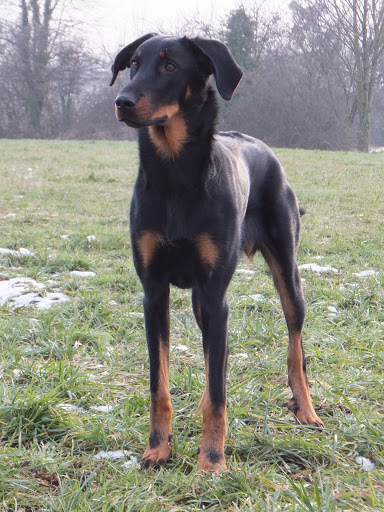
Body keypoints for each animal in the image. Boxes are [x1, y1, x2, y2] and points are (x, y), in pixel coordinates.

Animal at [110, 33, 324, 472]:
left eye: (170, 66)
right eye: (133, 64)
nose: (122, 101)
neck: (175, 174)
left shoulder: (214, 295)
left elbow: (219, 389)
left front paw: (211, 460)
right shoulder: (154, 292)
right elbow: (161, 384)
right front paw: (157, 449)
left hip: (286, 272)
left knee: (295, 345)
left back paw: (306, 408)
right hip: (199, 301)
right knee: (215, 358)